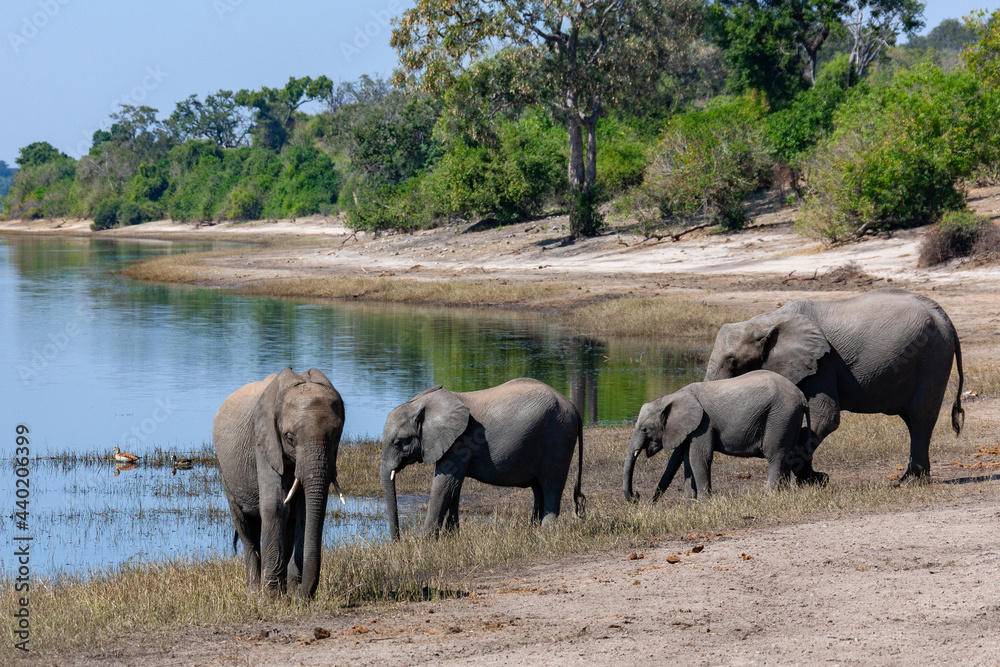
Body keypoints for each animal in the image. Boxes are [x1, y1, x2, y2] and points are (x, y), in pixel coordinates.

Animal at [213, 367, 345, 599]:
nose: (303, 599)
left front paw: (291, 592)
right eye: (289, 437)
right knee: (246, 528)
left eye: (337, 435)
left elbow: (304, 510)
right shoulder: (264, 440)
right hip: (225, 470)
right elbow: (274, 506)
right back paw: (254, 591)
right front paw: (272, 597)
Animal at [380, 378, 585, 539]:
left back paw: (546, 533)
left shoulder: (459, 442)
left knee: (551, 486)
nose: (397, 542)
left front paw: (425, 542)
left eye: (398, 443)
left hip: (558, 439)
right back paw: (532, 531)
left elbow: (443, 485)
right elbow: (453, 486)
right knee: (538, 489)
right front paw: (452, 537)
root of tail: (573, 408)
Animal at [623, 370, 811, 502]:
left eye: (644, 429)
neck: (671, 397)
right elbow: (684, 459)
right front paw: (690, 504)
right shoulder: (691, 428)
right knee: (787, 456)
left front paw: (704, 503)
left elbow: (698, 458)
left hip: (780, 416)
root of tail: (801, 395)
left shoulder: (703, 425)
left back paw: (768, 496)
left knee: (775, 456)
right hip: (789, 419)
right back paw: (783, 494)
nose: (638, 497)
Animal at [704, 288, 964, 483]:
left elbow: (824, 419)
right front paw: (813, 479)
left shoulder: (823, 364)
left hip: (932, 358)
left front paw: (810, 480)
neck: (765, 321)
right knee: (912, 420)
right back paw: (910, 479)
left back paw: (910, 482)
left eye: (733, 362)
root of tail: (946, 318)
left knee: (921, 417)